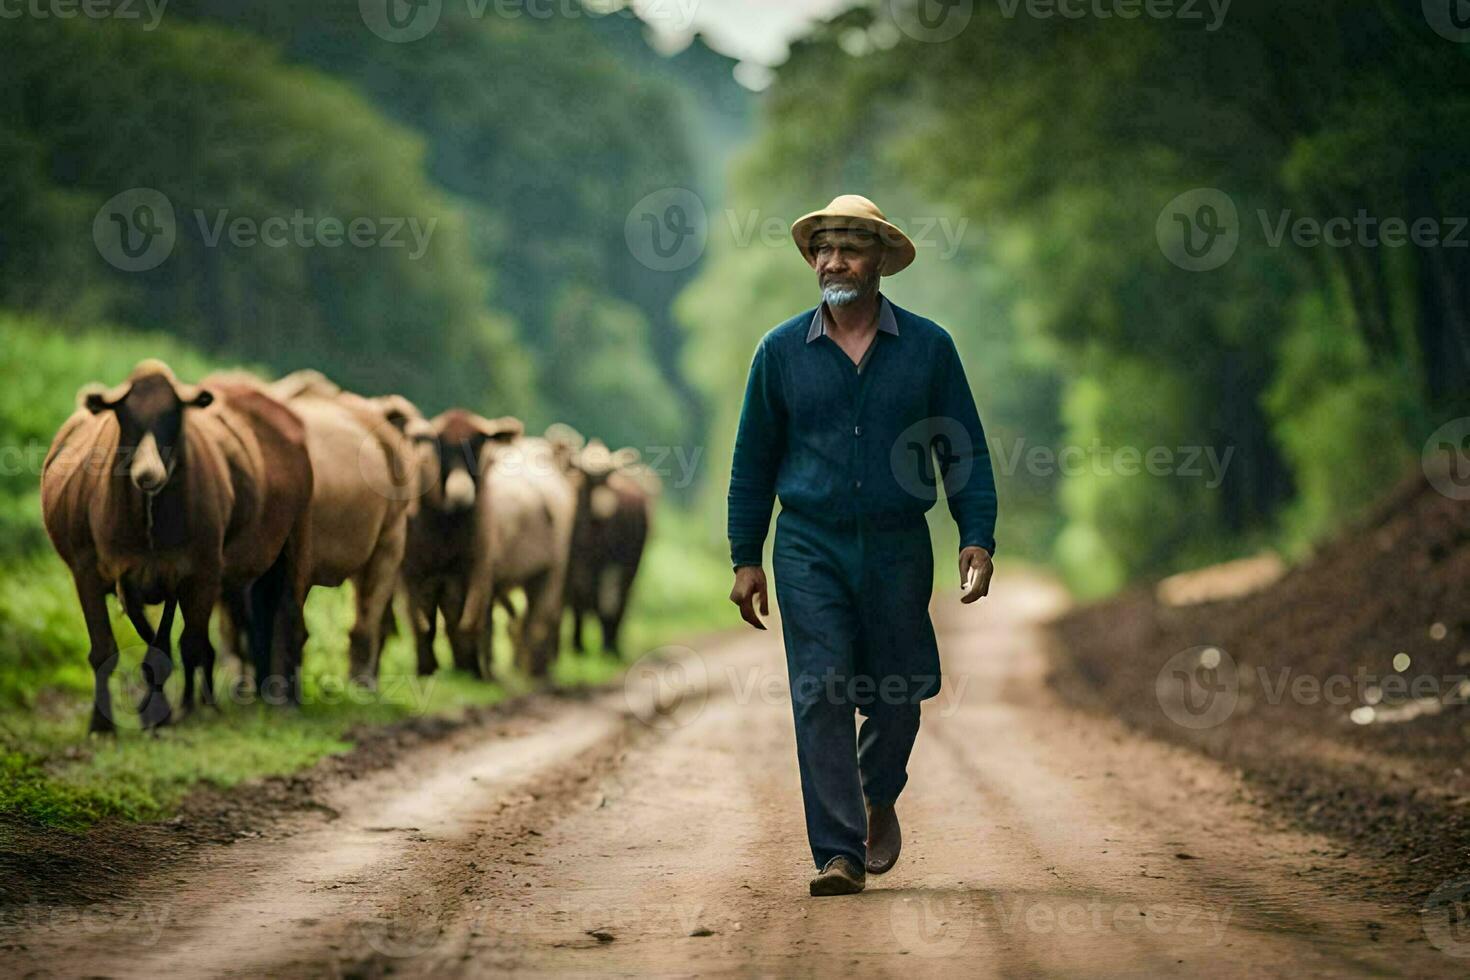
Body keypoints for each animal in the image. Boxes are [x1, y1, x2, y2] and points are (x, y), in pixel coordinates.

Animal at [42, 358, 313, 728]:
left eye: (173, 415)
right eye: (125, 417)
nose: (148, 472)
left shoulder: (198, 570)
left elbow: (186, 645)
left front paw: (178, 710)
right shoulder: (90, 571)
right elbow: (109, 649)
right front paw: (105, 723)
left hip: (290, 544)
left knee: (282, 617)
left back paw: (275, 700)